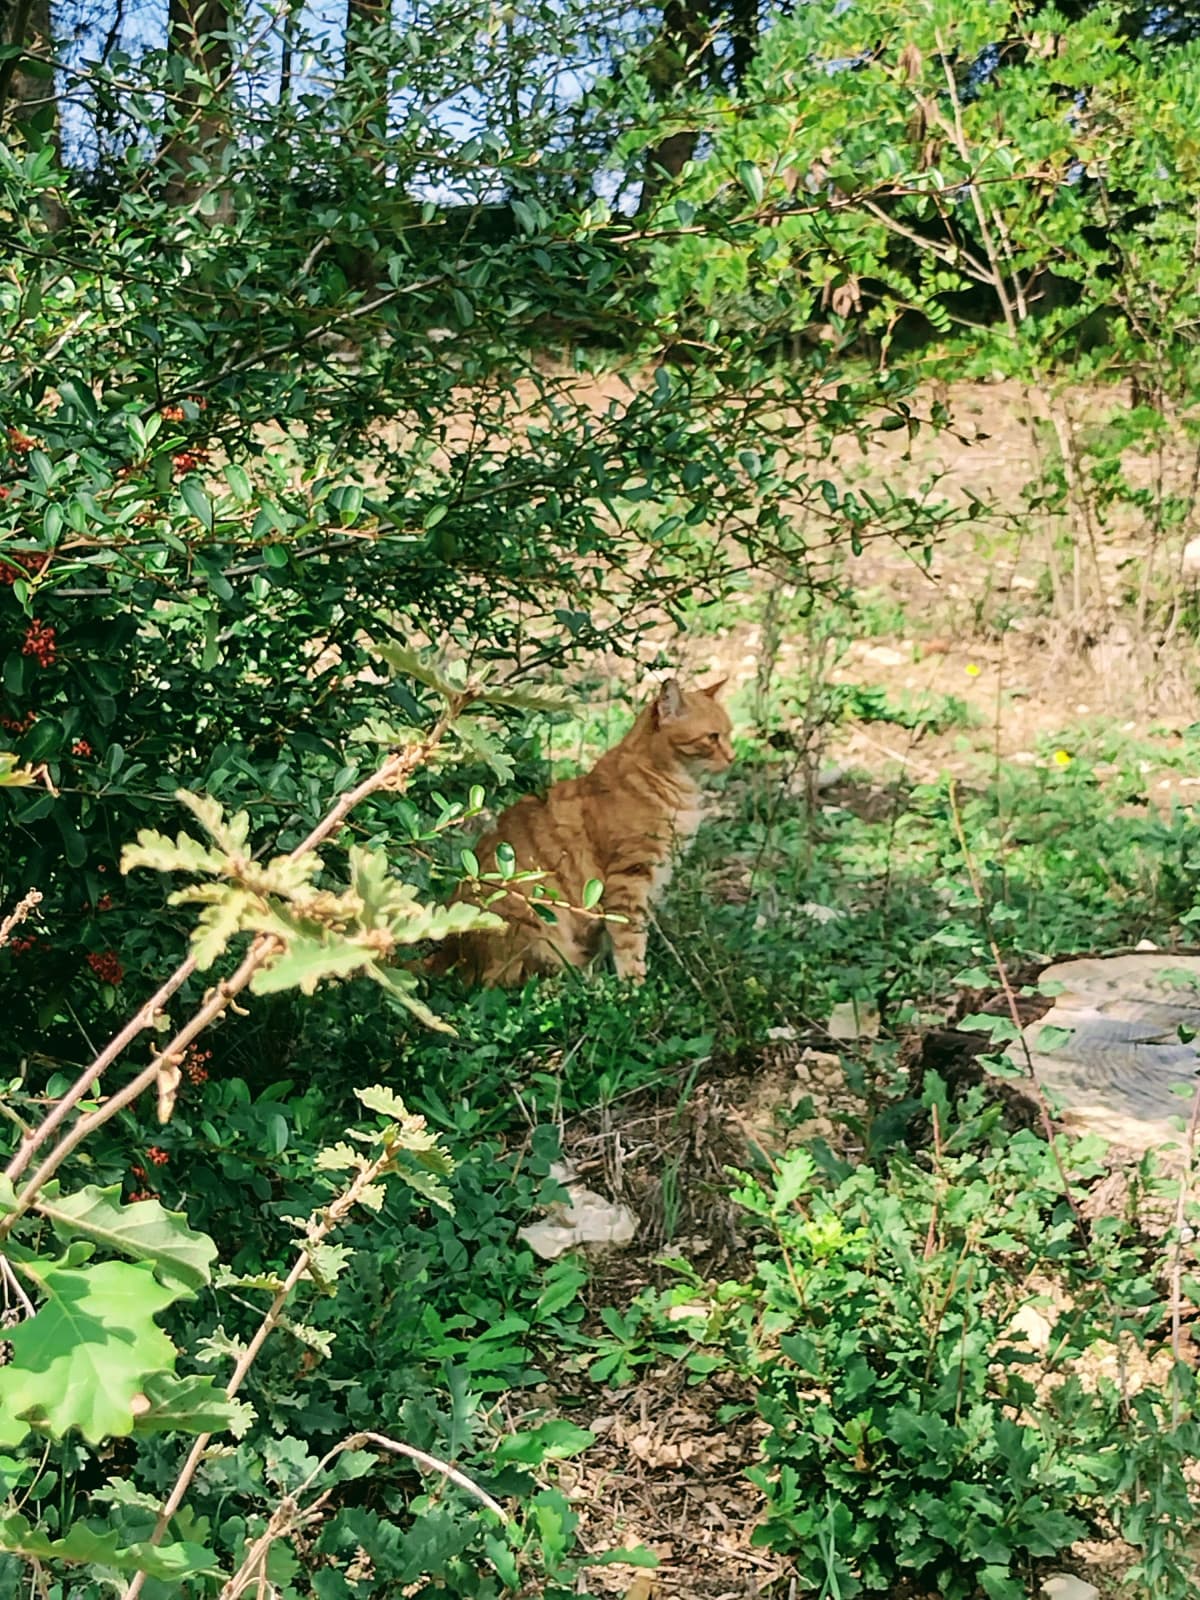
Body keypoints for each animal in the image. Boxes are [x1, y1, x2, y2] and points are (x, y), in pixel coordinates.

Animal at [432, 678, 732, 985]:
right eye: (712, 737)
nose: (733, 757)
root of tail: (451, 951)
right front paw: (635, 986)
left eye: (729, 734)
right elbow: (630, 942)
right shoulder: (628, 879)